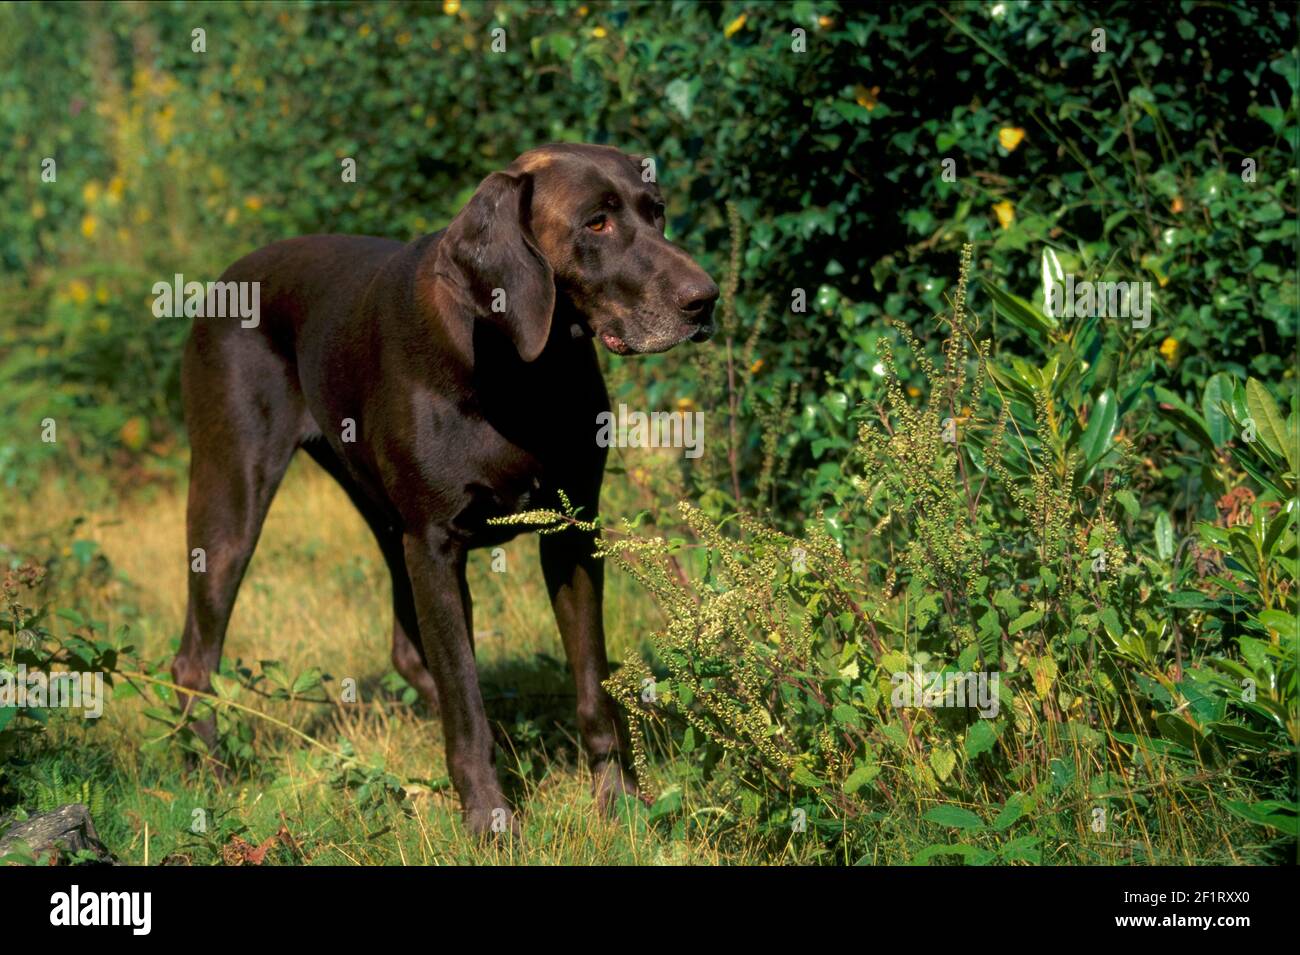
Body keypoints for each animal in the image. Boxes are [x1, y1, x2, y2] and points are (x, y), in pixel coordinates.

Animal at [172, 143, 722, 836]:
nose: (706, 300)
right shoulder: (434, 545)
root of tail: (225, 280)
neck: (521, 368)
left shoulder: (570, 533)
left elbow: (592, 685)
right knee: (196, 657)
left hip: (382, 516)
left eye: (658, 213)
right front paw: (491, 819)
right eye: (596, 223)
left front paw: (617, 801)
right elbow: (465, 700)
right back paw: (212, 779)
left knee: (412, 652)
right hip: (233, 493)